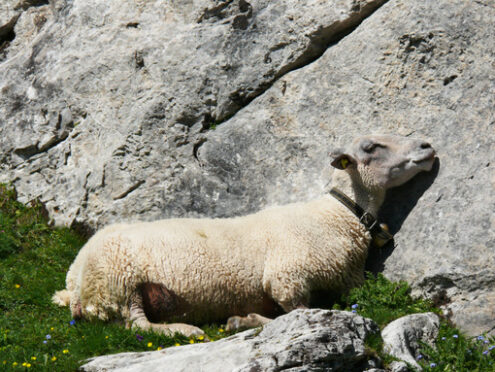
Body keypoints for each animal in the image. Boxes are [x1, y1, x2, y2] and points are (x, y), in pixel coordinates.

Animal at [52, 134, 436, 338]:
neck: (336, 217)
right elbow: (297, 313)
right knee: (136, 325)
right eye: (372, 147)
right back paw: (184, 330)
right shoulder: (287, 277)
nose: (427, 146)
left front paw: (243, 318)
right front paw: (243, 320)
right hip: (121, 281)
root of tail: (76, 283)